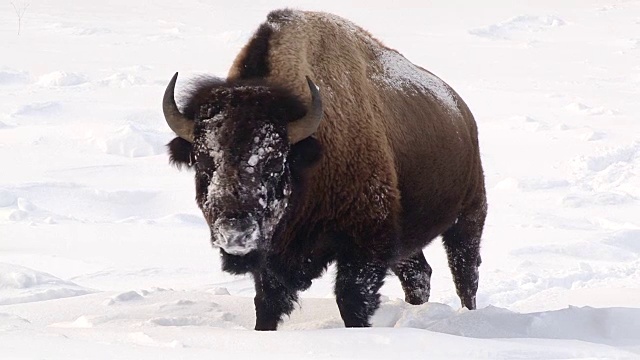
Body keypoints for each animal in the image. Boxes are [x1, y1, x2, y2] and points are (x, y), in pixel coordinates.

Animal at [162, 9, 488, 330]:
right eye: (203, 162)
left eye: (275, 162)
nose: (236, 233)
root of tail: (461, 110)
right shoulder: (273, 260)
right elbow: (266, 304)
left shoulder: (364, 243)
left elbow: (351, 300)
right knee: (419, 274)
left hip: (469, 213)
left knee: (465, 272)